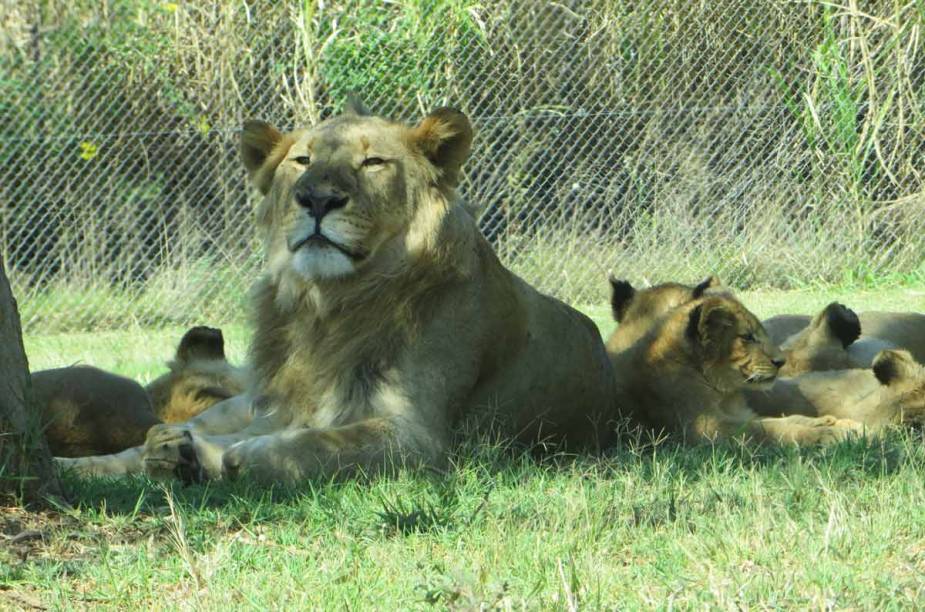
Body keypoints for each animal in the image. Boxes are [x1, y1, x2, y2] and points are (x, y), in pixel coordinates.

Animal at [59, 102, 619, 482]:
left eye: (374, 163)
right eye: (301, 161)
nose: (317, 199)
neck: (326, 306)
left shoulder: (417, 438)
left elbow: (308, 444)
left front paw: (214, 457)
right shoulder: (279, 407)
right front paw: (179, 451)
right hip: (241, 400)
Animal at [608, 292, 863, 445]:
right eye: (747, 337)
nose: (781, 362)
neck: (722, 391)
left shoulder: (740, 414)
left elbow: (776, 419)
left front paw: (833, 422)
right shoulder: (706, 430)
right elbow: (767, 430)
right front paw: (829, 434)